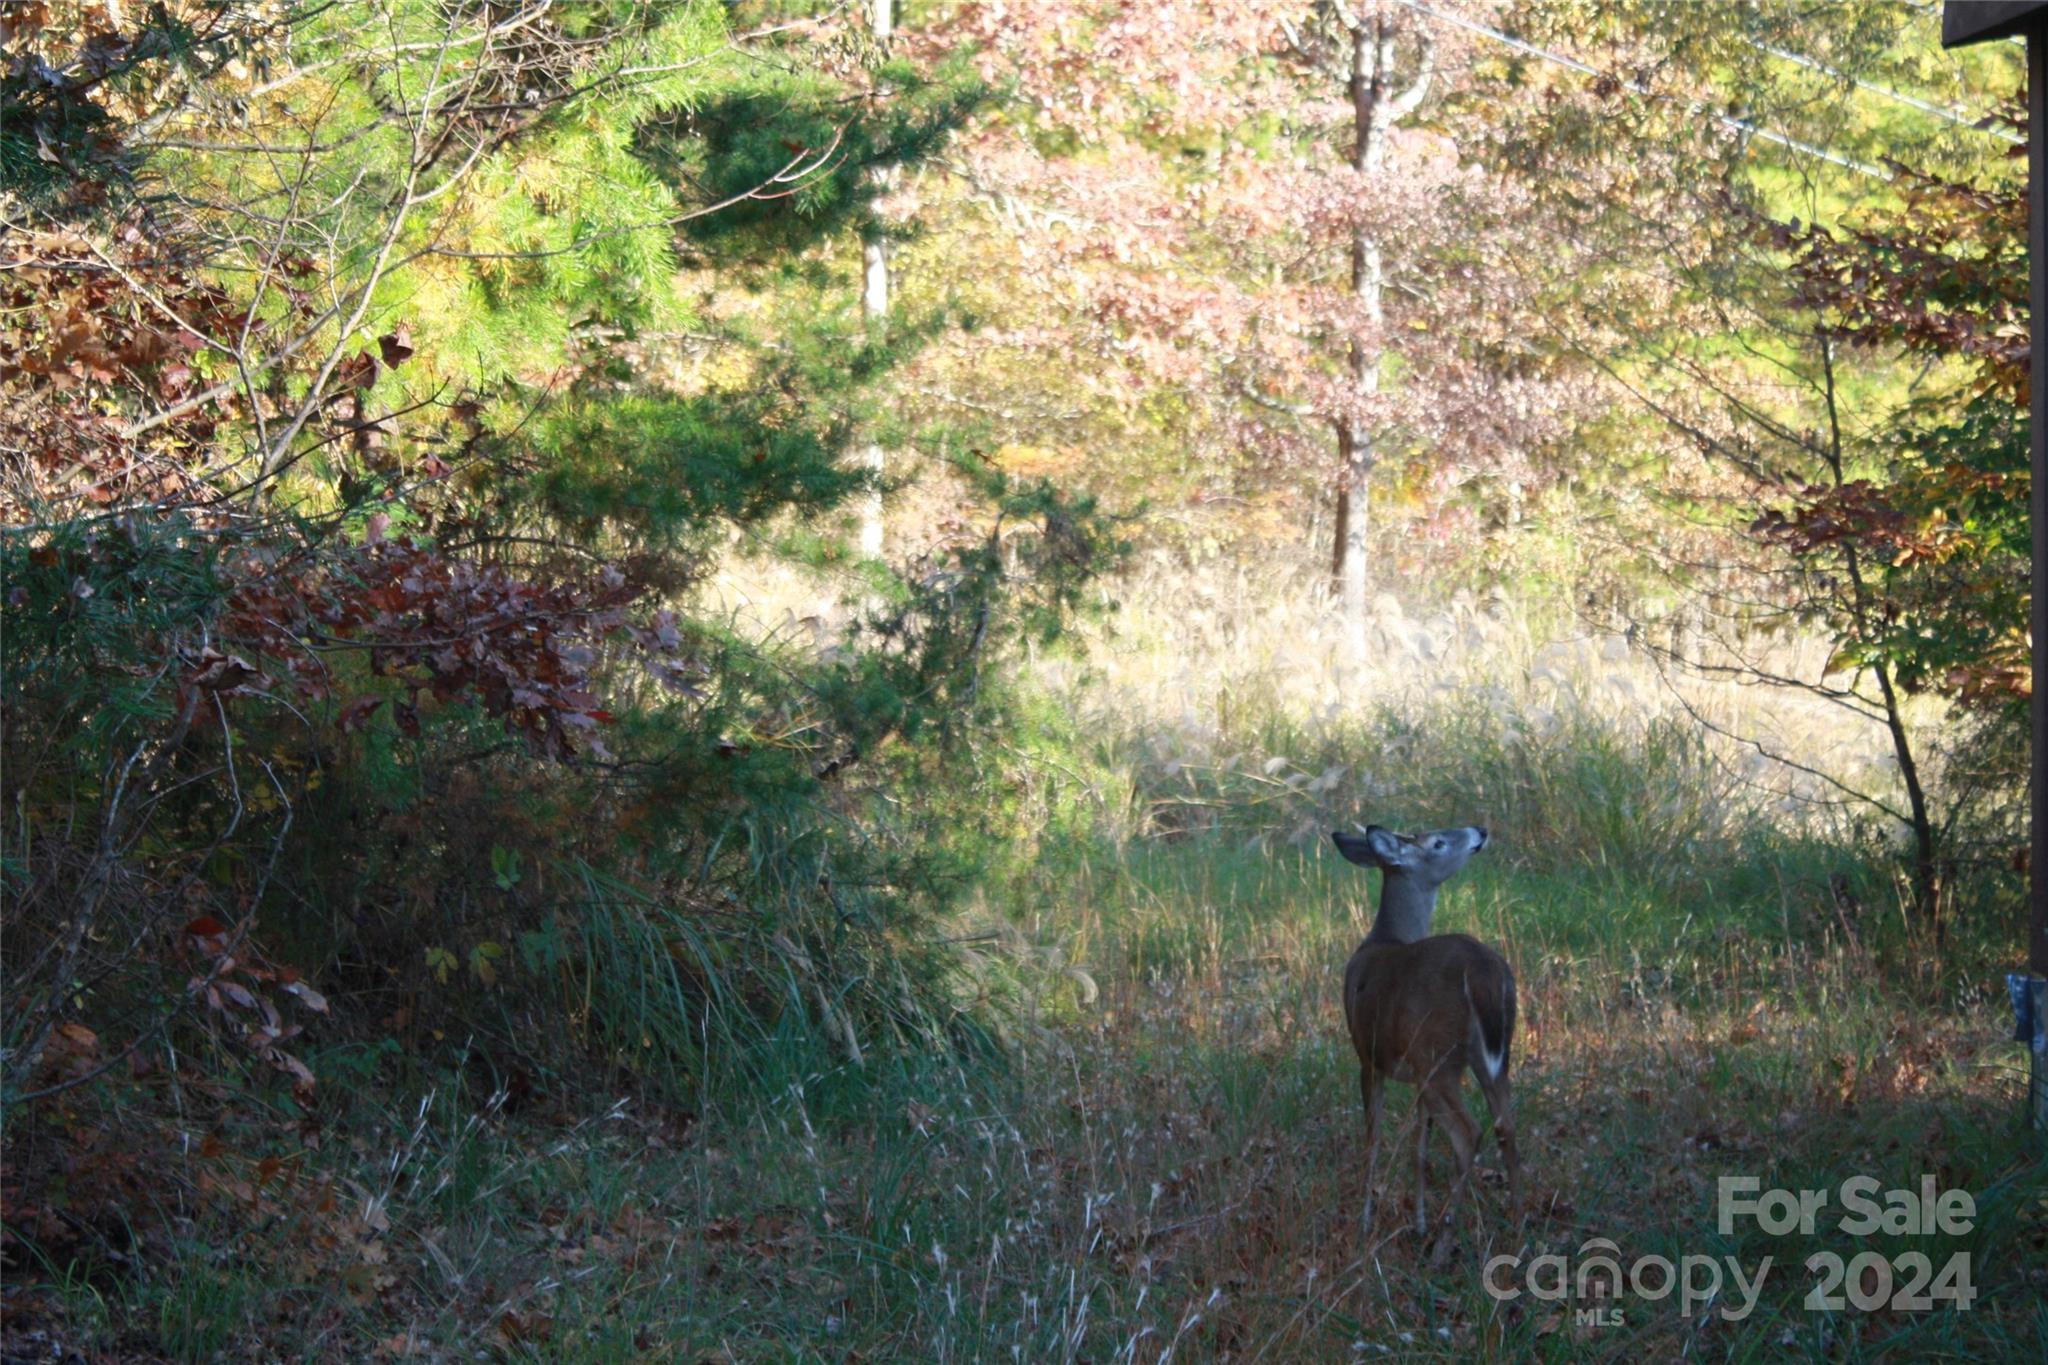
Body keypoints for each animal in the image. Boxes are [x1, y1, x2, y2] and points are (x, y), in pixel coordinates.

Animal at [1335, 822, 1515, 1260]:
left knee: (1470, 1133)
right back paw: (1520, 1231)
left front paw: (1365, 1222)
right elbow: (1419, 1148)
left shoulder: (1369, 1056)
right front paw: (1415, 1221)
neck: (1383, 938)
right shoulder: (1408, 1071)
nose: (1479, 830)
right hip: (1489, 1057)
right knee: (1507, 1128)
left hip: (1439, 1057)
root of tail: (1481, 971)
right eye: (1438, 841)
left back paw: (1442, 1244)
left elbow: (1373, 1139)